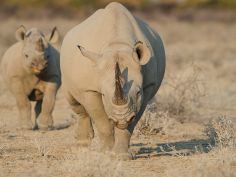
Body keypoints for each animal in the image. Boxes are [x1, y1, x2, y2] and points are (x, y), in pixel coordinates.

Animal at [60, 1, 165, 159]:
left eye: (138, 92)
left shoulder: (146, 87)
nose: (121, 119)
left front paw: (122, 155)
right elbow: (102, 121)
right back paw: (82, 147)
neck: (117, 45)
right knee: (74, 102)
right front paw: (106, 153)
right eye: (103, 94)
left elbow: (131, 124)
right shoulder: (90, 89)